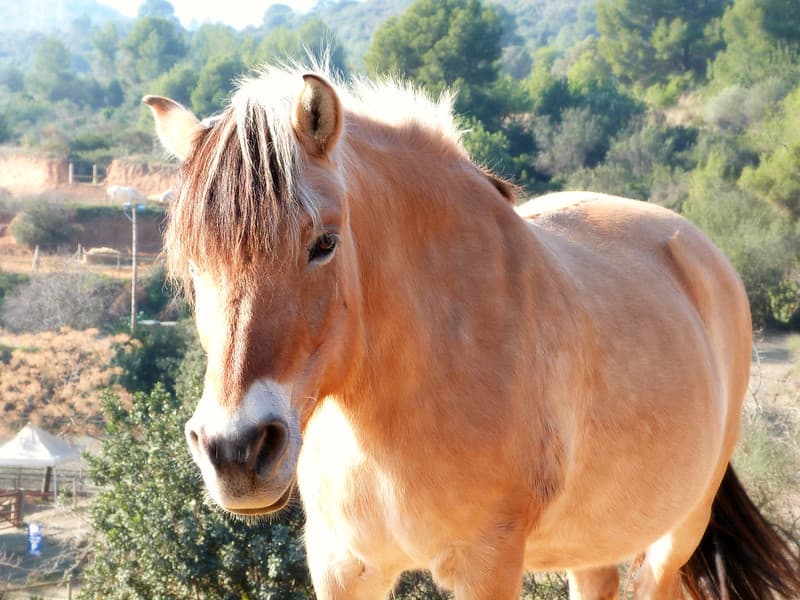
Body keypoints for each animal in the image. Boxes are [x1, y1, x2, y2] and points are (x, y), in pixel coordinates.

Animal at [143, 67, 800, 599]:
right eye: (191, 263)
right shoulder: (343, 566)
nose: (235, 450)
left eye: (324, 243)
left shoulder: (486, 565)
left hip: (678, 532)